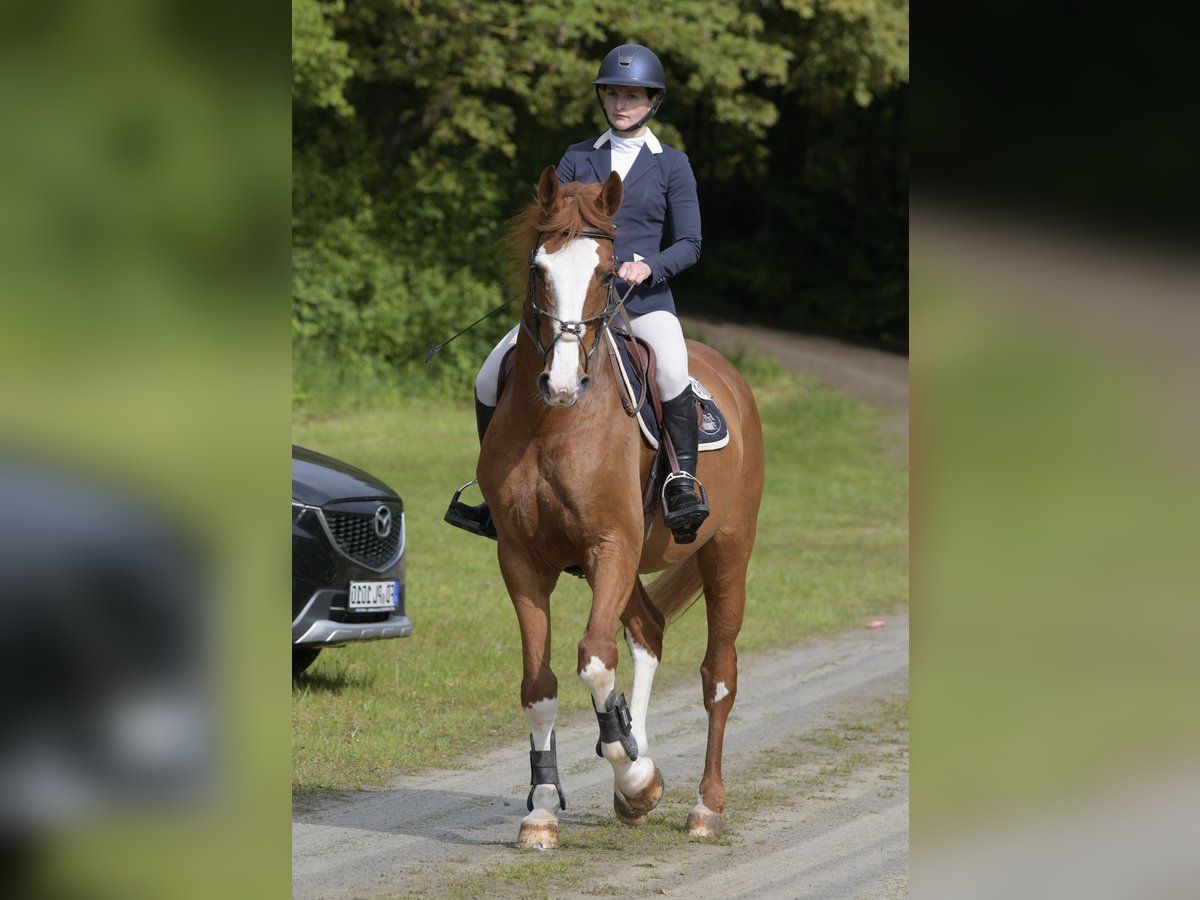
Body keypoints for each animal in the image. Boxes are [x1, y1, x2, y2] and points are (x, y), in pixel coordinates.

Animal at [475, 164, 763, 854]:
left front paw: (638, 780)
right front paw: (543, 809)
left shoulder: (611, 545)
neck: (555, 424)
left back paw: (705, 806)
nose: (559, 383)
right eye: (539, 270)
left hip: (726, 551)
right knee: (650, 631)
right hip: (625, 564)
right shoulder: (523, 559)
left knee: (719, 675)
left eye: (608, 274)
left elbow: (595, 661)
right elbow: (540, 686)